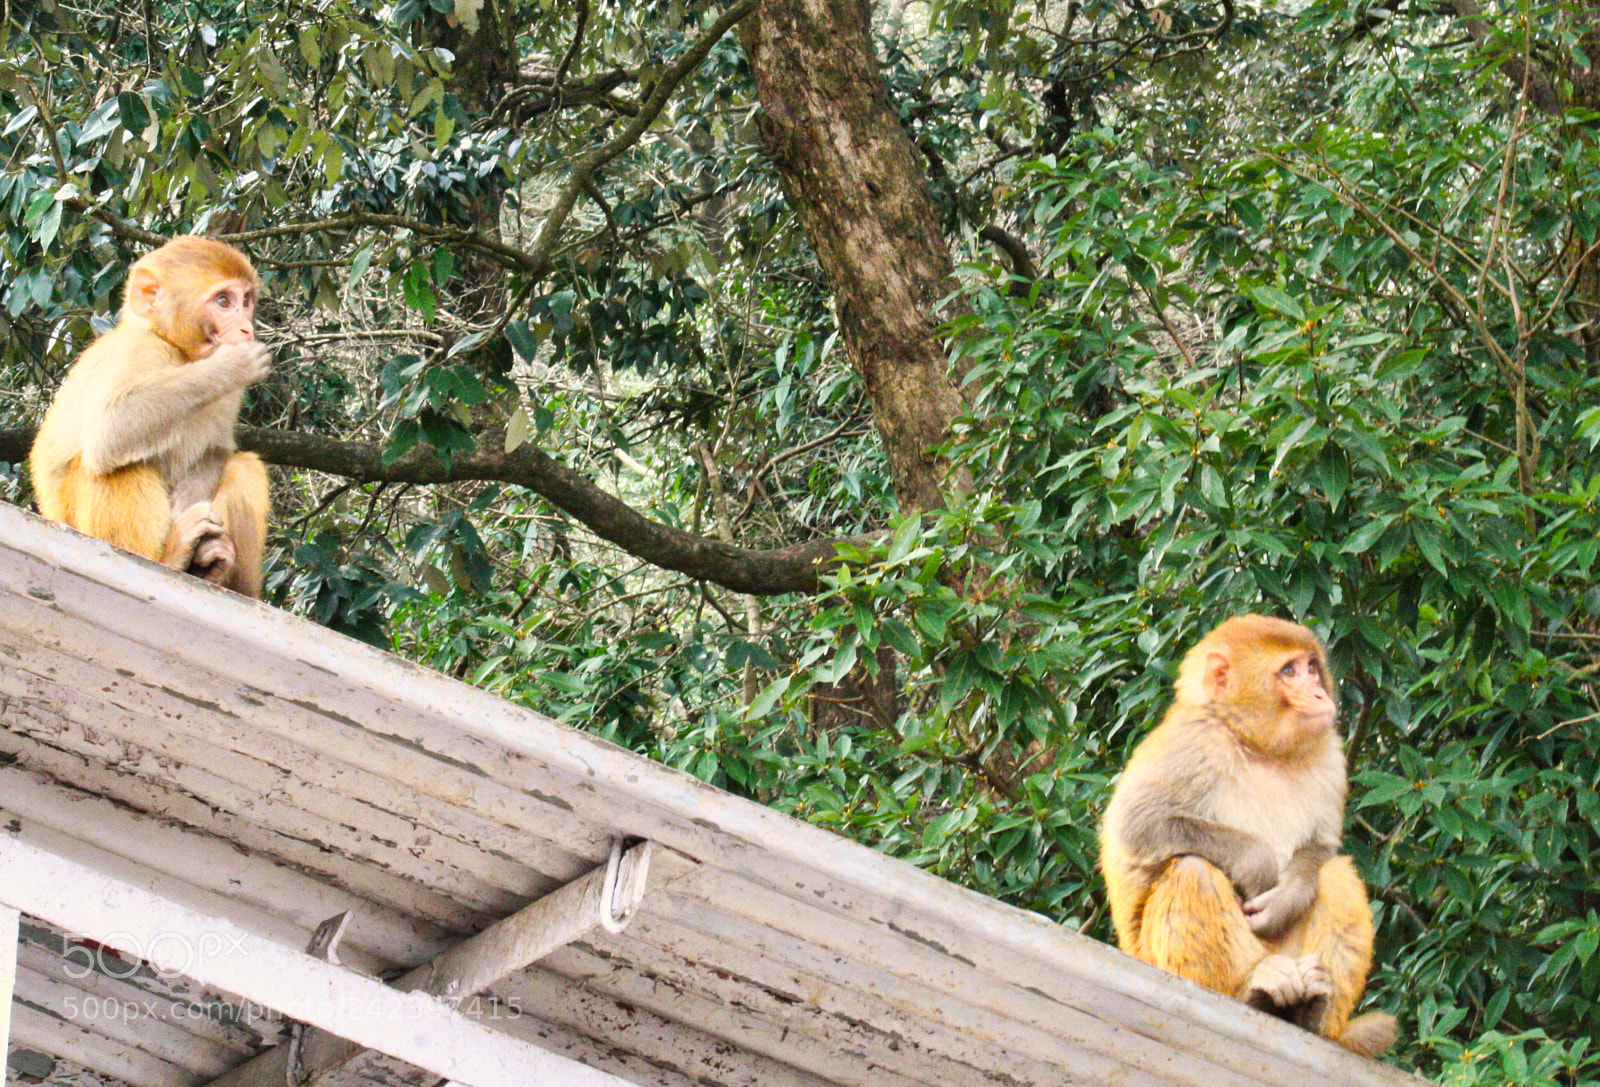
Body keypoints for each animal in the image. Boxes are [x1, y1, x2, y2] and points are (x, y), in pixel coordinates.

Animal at [29, 237, 271, 597]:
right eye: (223, 301)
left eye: (245, 301)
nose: (246, 327)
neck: (180, 353)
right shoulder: (140, 352)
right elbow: (111, 429)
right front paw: (229, 366)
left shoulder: (230, 396)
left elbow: (216, 451)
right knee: (111, 465)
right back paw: (171, 557)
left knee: (243, 466)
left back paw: (223, 576)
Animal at [1099, 614, 1397, 1057]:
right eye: (1288, 671)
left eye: (1311, 666)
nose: (1319, 693)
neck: (1257, 746)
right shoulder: (1193, 741)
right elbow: (1137, 822)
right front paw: (1255, 863)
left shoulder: (1329, 753)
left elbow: (1322, 846)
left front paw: (1288, 896)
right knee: (1192, 869)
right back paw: (1250, 991)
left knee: (1335, 874)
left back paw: (1312, 1013)